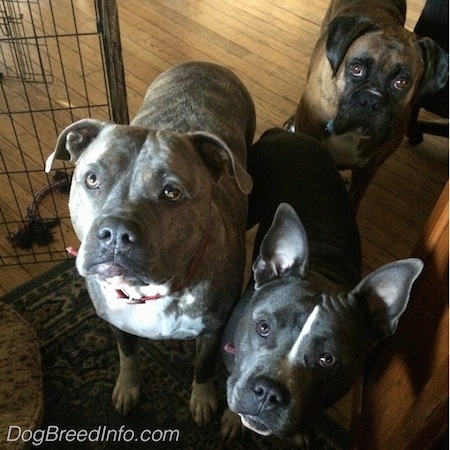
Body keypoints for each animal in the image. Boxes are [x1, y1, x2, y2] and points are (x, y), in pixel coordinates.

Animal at [46, 61, 256, 428]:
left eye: (171, 192)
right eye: (92, 179)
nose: (116, 232)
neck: (150, 293)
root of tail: (203, 64)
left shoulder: (212, 331)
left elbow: (203, 367)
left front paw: (202, 400)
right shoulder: (117, 323)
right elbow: (127, 354)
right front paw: (127, 389)